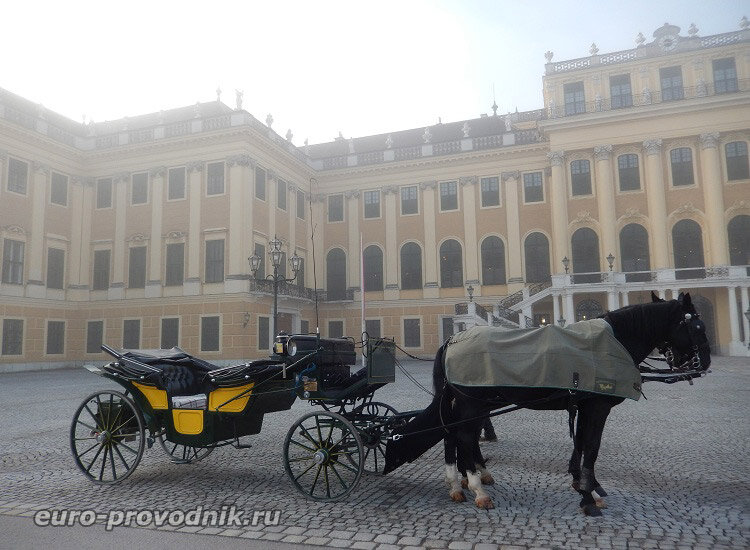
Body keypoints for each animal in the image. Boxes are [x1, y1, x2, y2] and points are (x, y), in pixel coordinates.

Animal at [384, 296, 712, 516]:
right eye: (697, 325)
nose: (705, 361)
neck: (611, 343)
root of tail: (452, 338)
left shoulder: (582, 406)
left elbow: (580, 445)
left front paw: (583, 486)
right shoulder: (597, 408)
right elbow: (591, 447)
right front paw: (589, 497)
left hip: (468, 403)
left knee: (454, 436)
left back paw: (458, 483)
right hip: (471, 402)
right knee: (463, 437)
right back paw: (476, 487)